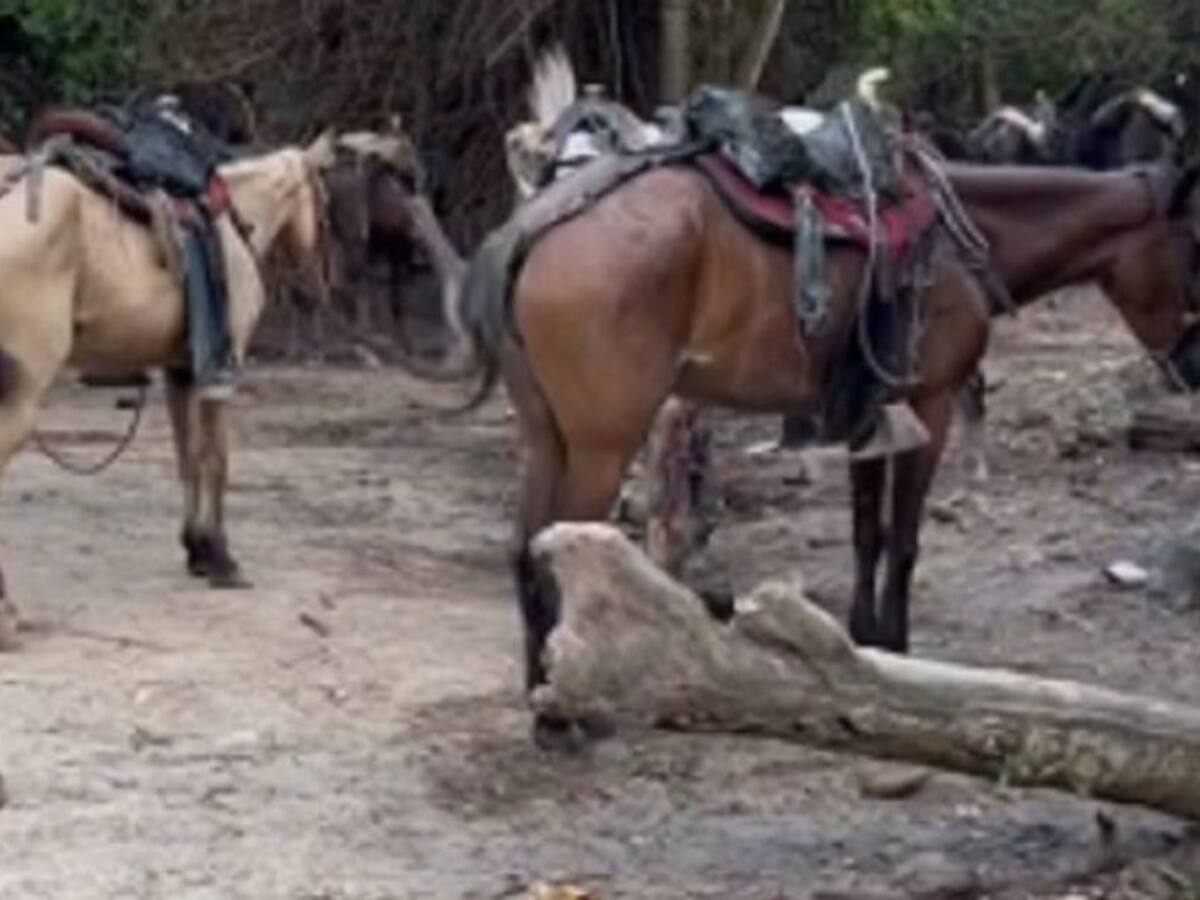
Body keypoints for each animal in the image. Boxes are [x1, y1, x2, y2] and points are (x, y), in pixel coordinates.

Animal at [0, 113, 335, 649]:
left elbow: (188, 459)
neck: (233, 221)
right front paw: (220, 556)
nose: (317, 286)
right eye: (324, 200)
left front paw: (195, 550)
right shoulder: (221, 369)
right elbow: (217, 460)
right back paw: (7, 614)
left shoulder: (181, 371)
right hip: (22, 393)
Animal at [451, 135, 1200, 746]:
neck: (967, 239)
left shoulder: (871, 416)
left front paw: (867, 644)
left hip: (545, 436)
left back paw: (547, 699)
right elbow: (905, 539)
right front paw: (897, 644)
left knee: (524, 549)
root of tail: (530, 228)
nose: (1192, 367)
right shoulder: (929, 406)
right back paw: (567, 716)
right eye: (1195, 247)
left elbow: (868, 531)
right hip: (603, 444)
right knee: (559, 548)